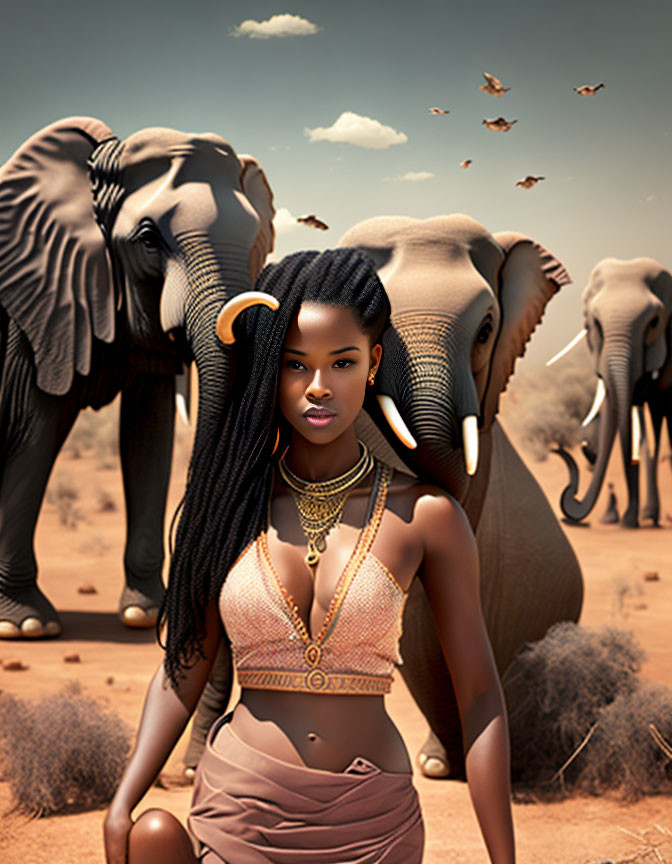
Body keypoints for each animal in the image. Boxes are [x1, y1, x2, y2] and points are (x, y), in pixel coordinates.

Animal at [0, 118, 274, 636]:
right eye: (149, 239)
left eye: (254, 239)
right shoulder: (36, 310)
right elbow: (32, 435)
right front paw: (26, 625)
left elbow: (150, 434)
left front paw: (145, 616)